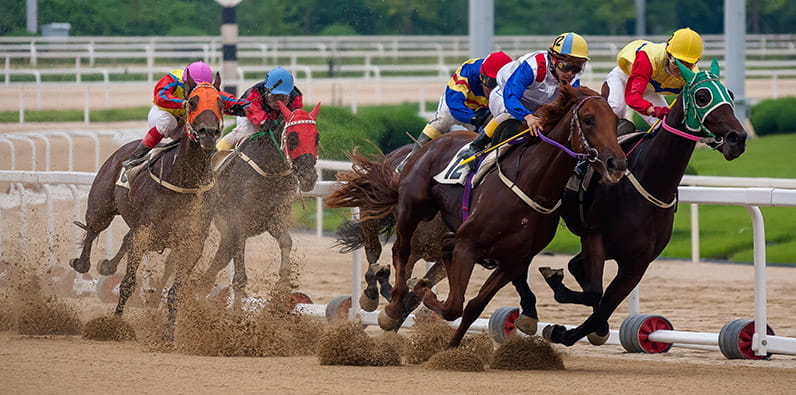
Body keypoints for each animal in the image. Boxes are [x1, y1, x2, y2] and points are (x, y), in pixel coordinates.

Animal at [69, 70, 224, 332]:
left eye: (221, 102)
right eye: (192, 102)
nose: (208, 133)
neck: (184, 180)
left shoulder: (191, 241)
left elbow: (176, 292)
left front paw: (169, 333)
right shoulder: (146, 232)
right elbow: (128, 283)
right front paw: (115, 324)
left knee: (125, 238)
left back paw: (107, 265)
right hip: (101, 205)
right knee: (92, 230)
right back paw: (82, 263)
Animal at [198, 101, 320, 296]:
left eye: (317, 138)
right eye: (292, 138)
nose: (308, 177)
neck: (270, 171)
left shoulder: (275, 217)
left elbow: (286, 241)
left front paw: (282, 283)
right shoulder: (238, 222)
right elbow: (239, 278)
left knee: (216, 264)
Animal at [330, 85, 628, 348]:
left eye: (615, 121)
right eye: (588, 120)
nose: (616, 163)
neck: (532, 183)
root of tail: (431, 143)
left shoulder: (513, 261)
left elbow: (472, 305)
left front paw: (451, 347)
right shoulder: (468, 245)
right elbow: (453, 305)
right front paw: (419, 291)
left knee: (433, 254)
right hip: (411, 209)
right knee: (399, 253)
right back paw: (391, 308)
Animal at [536, 58, 748, 346]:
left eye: (731, 95)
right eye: (703, 96)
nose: (738, 139)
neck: (649, 182)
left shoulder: (638, 262)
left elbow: (602, 307)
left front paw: (573, 331)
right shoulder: (594, 237)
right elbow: (594, 292)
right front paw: (558, 311)